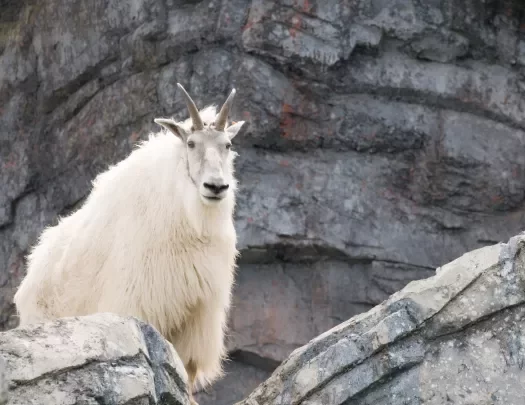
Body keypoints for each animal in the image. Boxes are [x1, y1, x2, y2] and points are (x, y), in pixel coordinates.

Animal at [12, 83, 246, 402]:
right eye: (191, 144)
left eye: (228, 145)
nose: (216, 186)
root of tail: (32, 269)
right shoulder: (140, 301)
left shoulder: (197, 314)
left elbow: (187, 370)